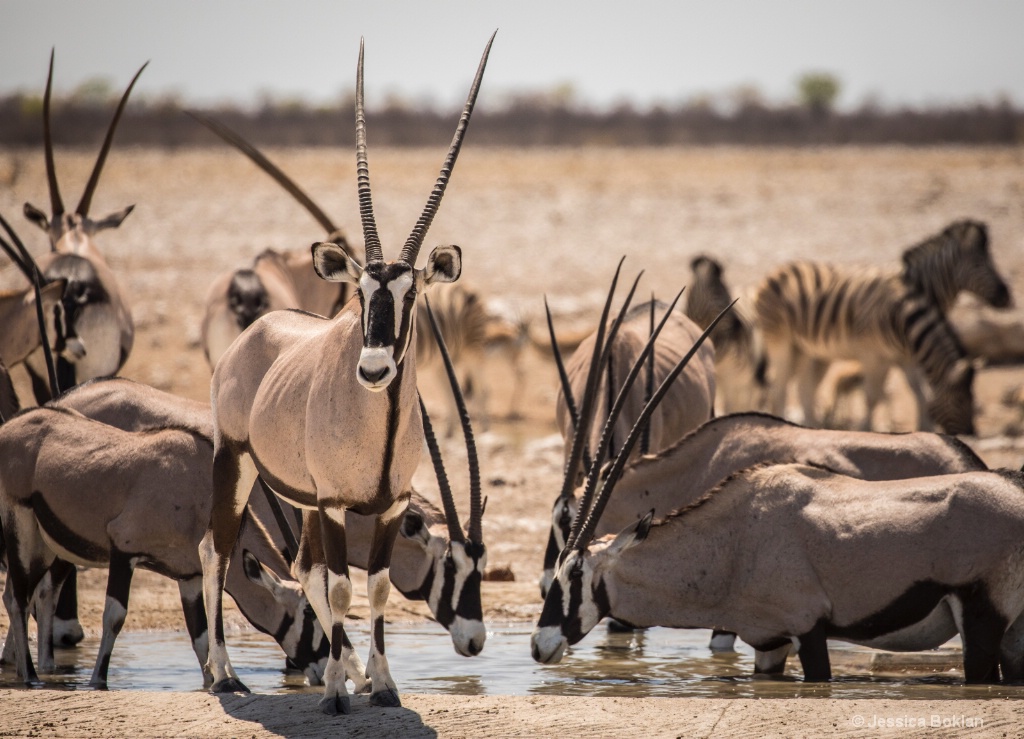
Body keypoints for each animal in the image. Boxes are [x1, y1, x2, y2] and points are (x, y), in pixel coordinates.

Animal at [753, 216, 1007, 431]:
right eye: (979, 265)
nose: (1006, 295)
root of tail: (778, 270)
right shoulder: (874, 355)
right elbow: (873, 395)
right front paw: (866, 430)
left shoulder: (905, 356)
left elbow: (918, 392)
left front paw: (924, 428)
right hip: (781, 342)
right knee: (780, 390)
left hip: (806, 349)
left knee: (804, 389)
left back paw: (811, 426)